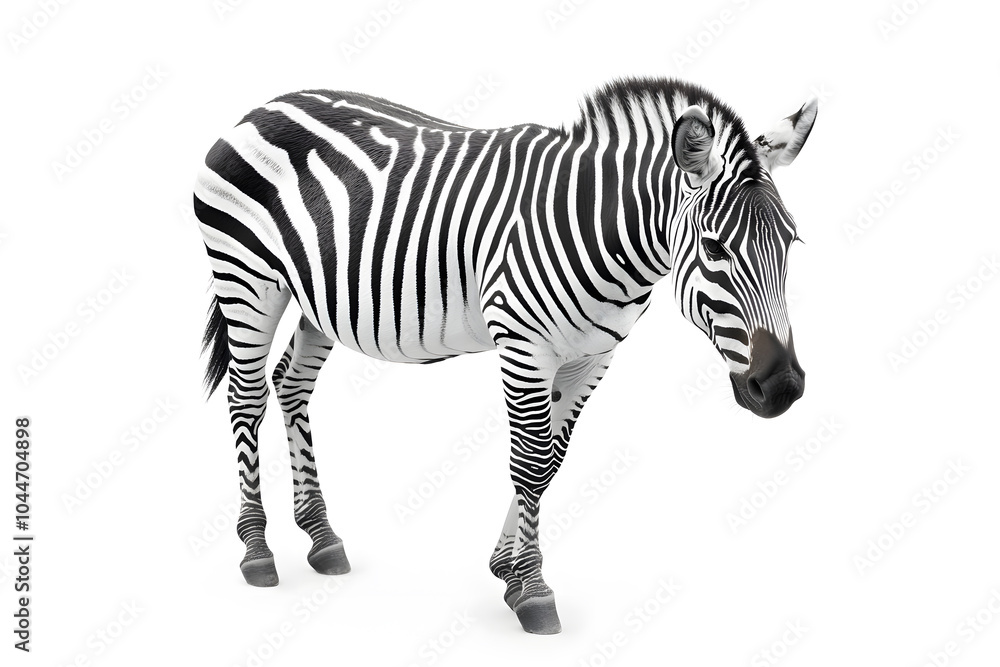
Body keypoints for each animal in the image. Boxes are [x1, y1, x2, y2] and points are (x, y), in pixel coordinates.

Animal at [194, 77, 816, 635]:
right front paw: (535, 591)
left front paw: (510, 574)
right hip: (247, 279)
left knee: (291, 384)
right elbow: (531, 461)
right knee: (246, 397)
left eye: (791, 243)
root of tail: (263, 106)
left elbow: (551, 463)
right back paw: (257, 551)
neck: (601, 231)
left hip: (318, 298)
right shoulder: (522, 343)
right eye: (713, 247)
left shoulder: (593, 357)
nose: (781, 387)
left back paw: (322, 539)